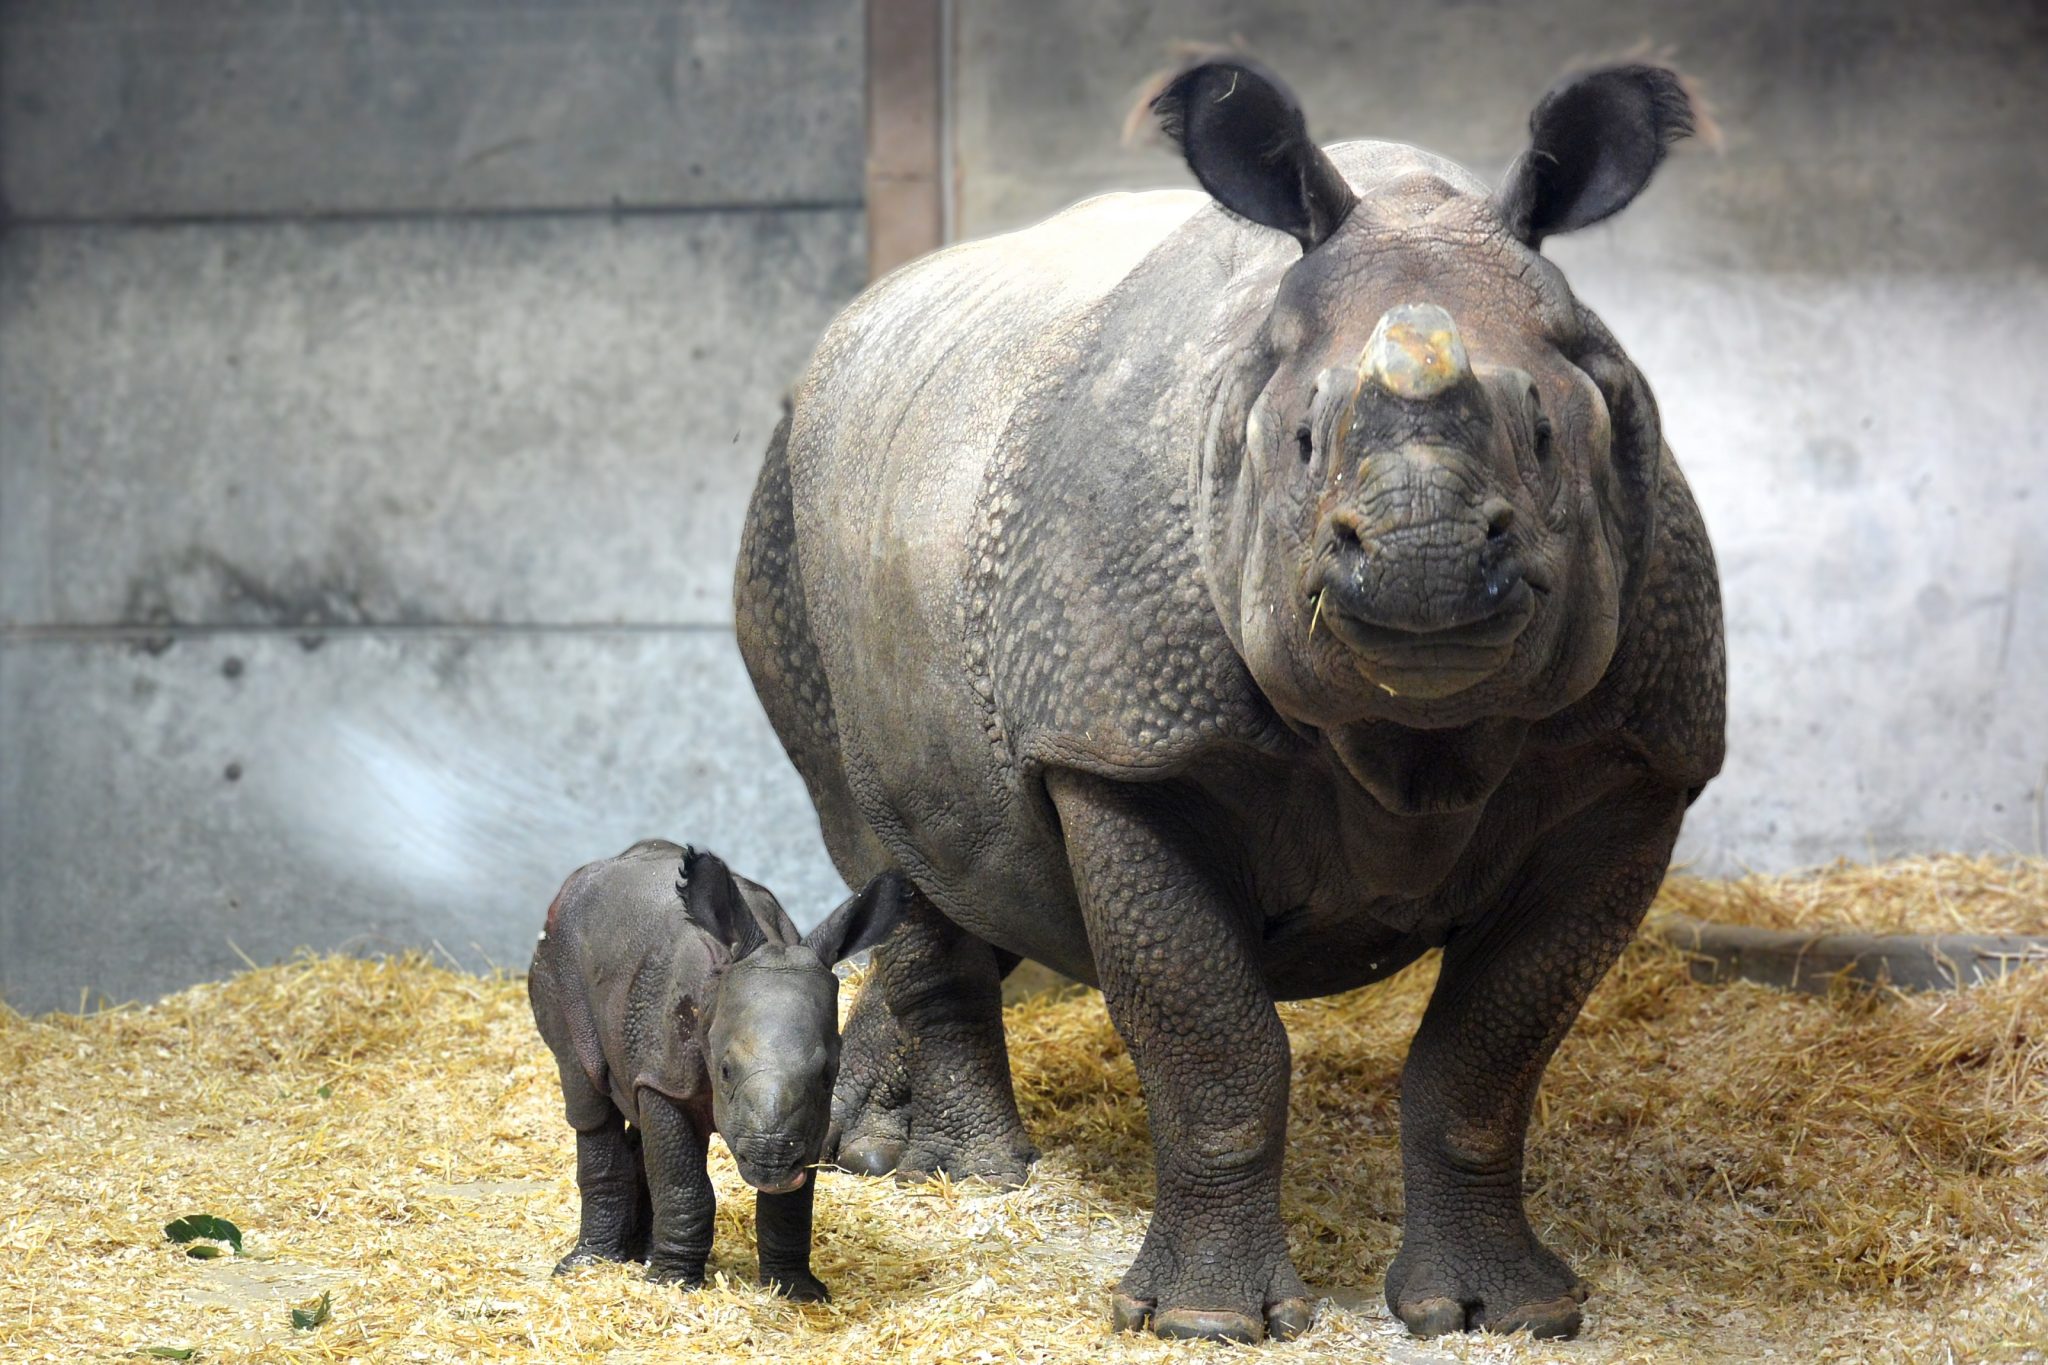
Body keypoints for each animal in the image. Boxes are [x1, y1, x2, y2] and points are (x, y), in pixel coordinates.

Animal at [528, 843, 905, 1301]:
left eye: (827, 1075)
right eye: (725, 1070)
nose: (773, 1159)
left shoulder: (816, 1116)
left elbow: (792, 1207)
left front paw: (798, 1291)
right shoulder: (664, 1079)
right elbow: (684, 1184)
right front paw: (672, 1283)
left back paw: (641, 1256)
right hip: (556, 955)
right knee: (588, 1097)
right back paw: (589, 1265)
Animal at [737, 56, 1728, 1342]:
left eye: (1547, 433)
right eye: (1299, 440)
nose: (1421, 564)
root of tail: (847, 332)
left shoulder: (1634, 763)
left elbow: (1488, 1058)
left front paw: (1500, 1313)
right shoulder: (1125, 747)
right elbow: (1210, 1040)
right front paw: (1205, 1324)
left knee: (972, 865)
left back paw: (872, 1148)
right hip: (784, 513)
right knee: (877, 832)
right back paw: (978, 1178)